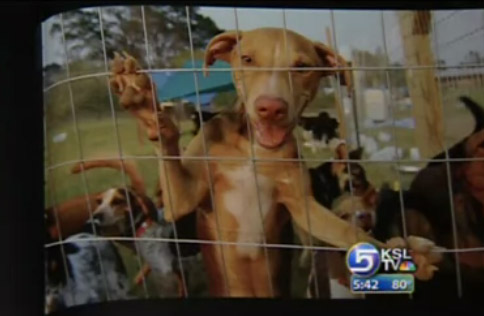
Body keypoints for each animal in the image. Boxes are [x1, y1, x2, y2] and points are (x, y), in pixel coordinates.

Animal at [109, 27, 442, 296]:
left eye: (303, 67)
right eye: (247, 59)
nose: (270, 108)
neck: (253, 148)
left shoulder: (304, 206)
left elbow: (348, 232)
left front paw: (404, 252)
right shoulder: (183, 200)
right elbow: (169, 157)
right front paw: (144, 105)